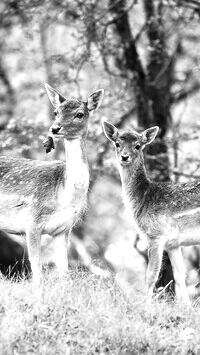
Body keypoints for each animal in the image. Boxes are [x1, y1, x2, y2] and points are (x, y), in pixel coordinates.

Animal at [0, 82, 103, 284]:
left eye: (80, 114)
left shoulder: (63, 229)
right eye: (56, 112)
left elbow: (64, 269)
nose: (55, 128)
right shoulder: (32, 221)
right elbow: (37, 267)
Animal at [101, 120, 200, 306]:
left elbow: (151, 275)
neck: (143, 199)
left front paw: (145, 306)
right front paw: (186, 308)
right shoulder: (173, 243)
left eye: (138, 146)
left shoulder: (155, 235)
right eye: (117, 143)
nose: (124, 157)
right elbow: (180, 275)